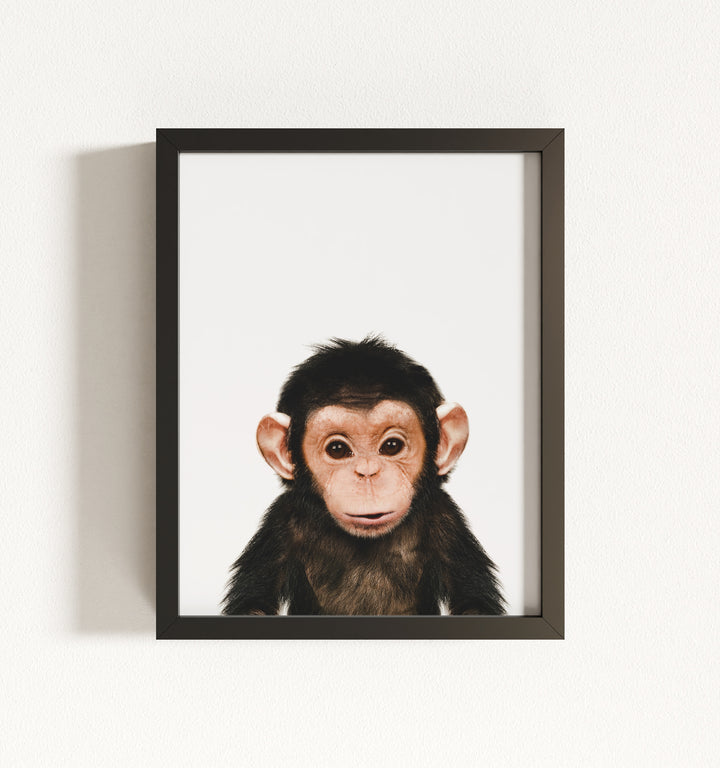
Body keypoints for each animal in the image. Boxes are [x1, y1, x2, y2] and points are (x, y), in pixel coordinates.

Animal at [222, 336, 505, 616]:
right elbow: (254, 604)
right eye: (337, 449)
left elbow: (473, 603)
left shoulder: (446, 520)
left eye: (392, 446)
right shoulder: (280, 523)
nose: (367, 472)